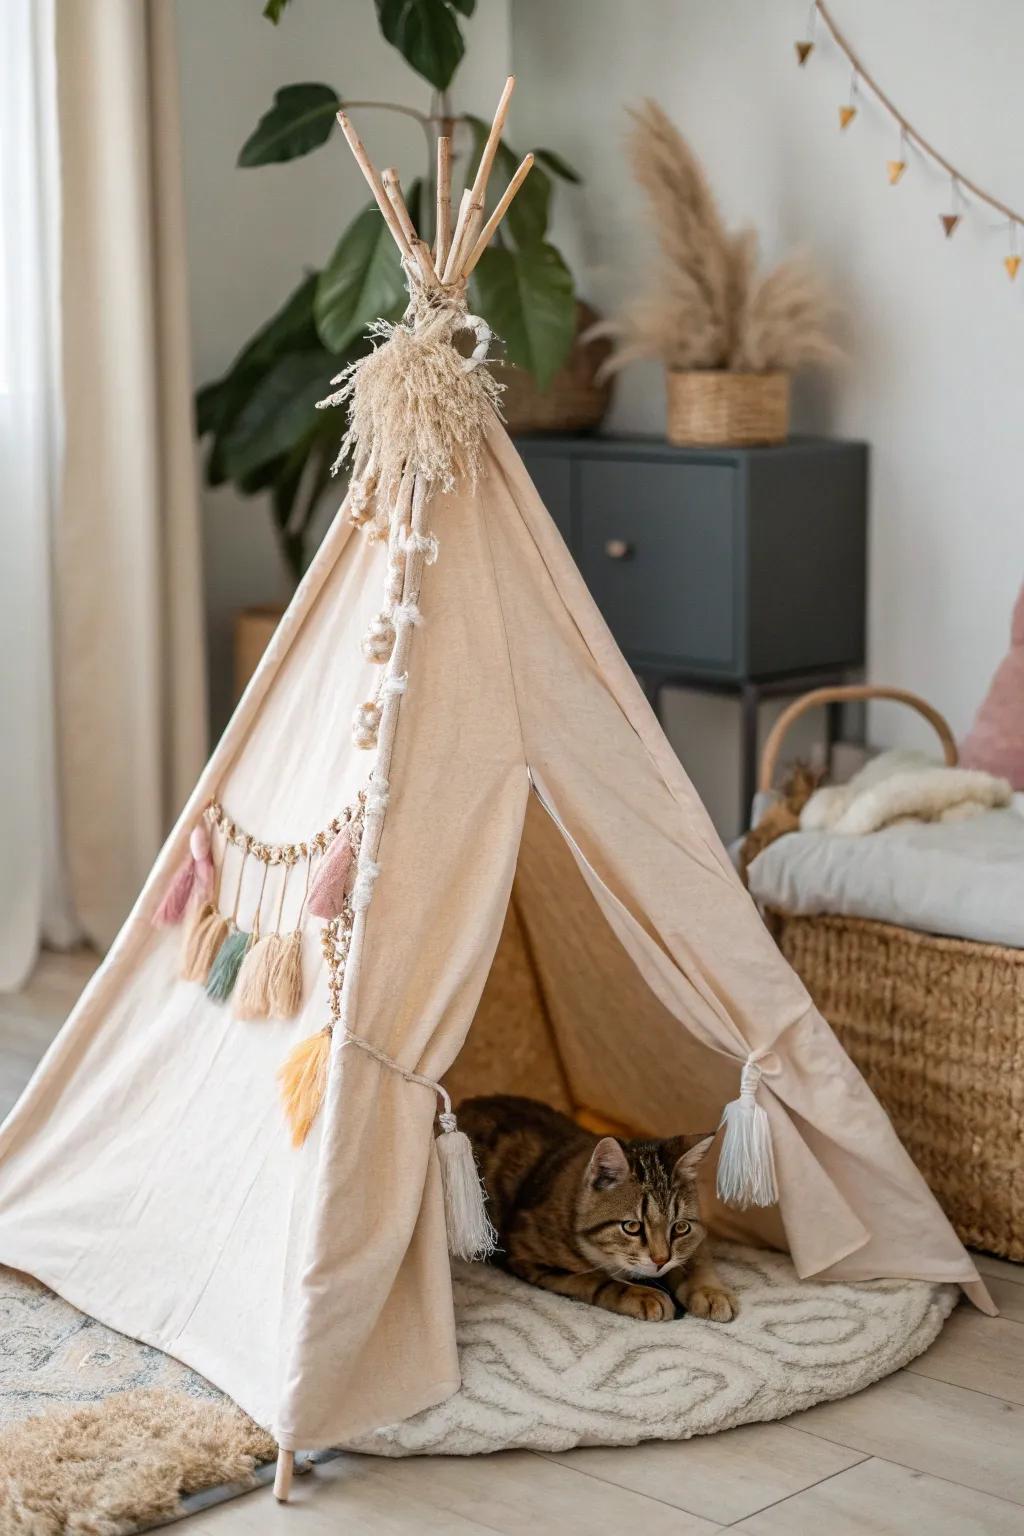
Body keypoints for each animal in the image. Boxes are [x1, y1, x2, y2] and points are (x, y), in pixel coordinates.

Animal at [457, 1093, 736, 1320]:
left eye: (680, 1227)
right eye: (632, 1227)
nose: (660, 1261)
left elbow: (694, 1259)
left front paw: (709, 1291)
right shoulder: (529, 1256)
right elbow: (598, 1279)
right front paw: (642, 1294)